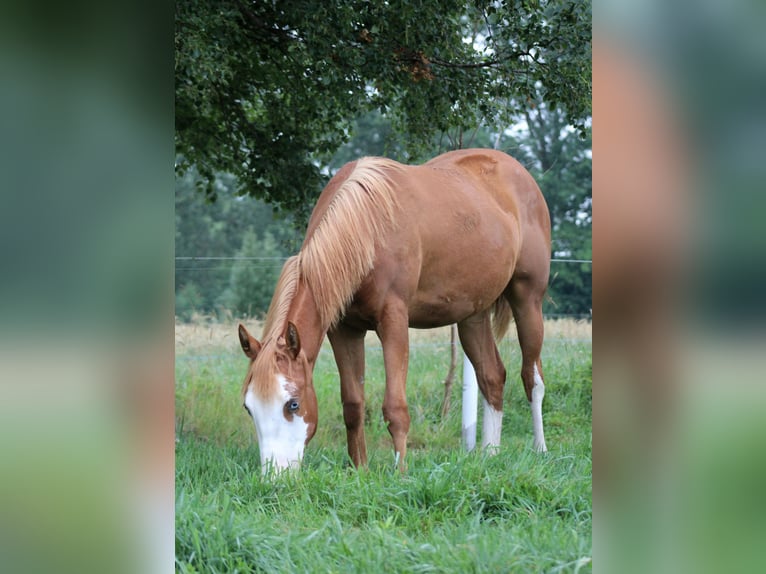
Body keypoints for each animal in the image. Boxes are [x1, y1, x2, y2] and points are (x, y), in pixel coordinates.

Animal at [237, 148, 551, 473]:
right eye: (249, 407)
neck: (365, 228)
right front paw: (359, 470)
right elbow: (353, 405)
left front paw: (400, 473)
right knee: (492, 376)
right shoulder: (344, 330)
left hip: (527, 299)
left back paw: (540, 450)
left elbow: (395, 407)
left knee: (532, 378)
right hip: (472, 315)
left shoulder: (394, 321)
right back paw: (489, 455)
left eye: (293, 404)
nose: (275, 476)